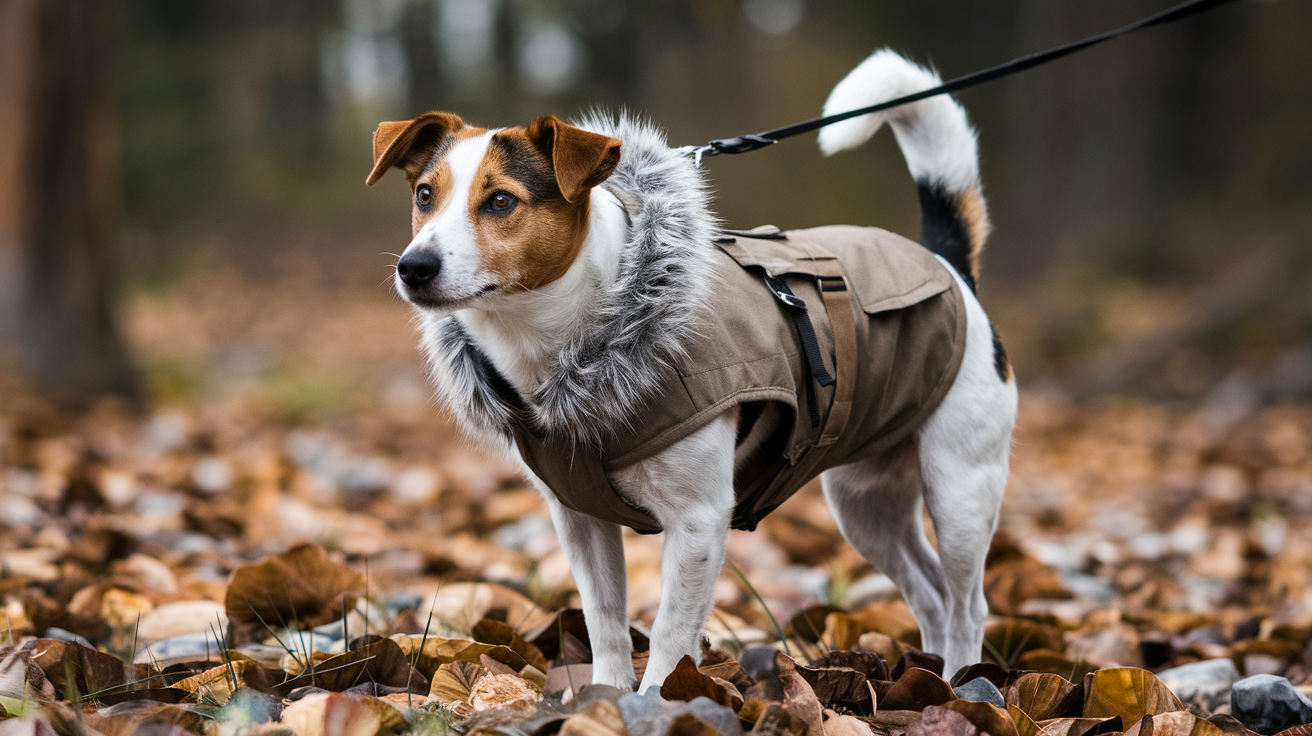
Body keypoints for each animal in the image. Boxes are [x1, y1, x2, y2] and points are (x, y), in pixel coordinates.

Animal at [364, 50, 1018, 687]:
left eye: (501, 200)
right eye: (425, 195)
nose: (413, 267)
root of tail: (947, 264)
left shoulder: (699, 522)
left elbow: (670, 636)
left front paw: (655, 700)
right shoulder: (580, 520)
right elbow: (605, 623)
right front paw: (605, 699)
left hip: (959, 486)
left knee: (967, 603)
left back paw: (962, 680)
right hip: (866, 505)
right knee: (930, 592)